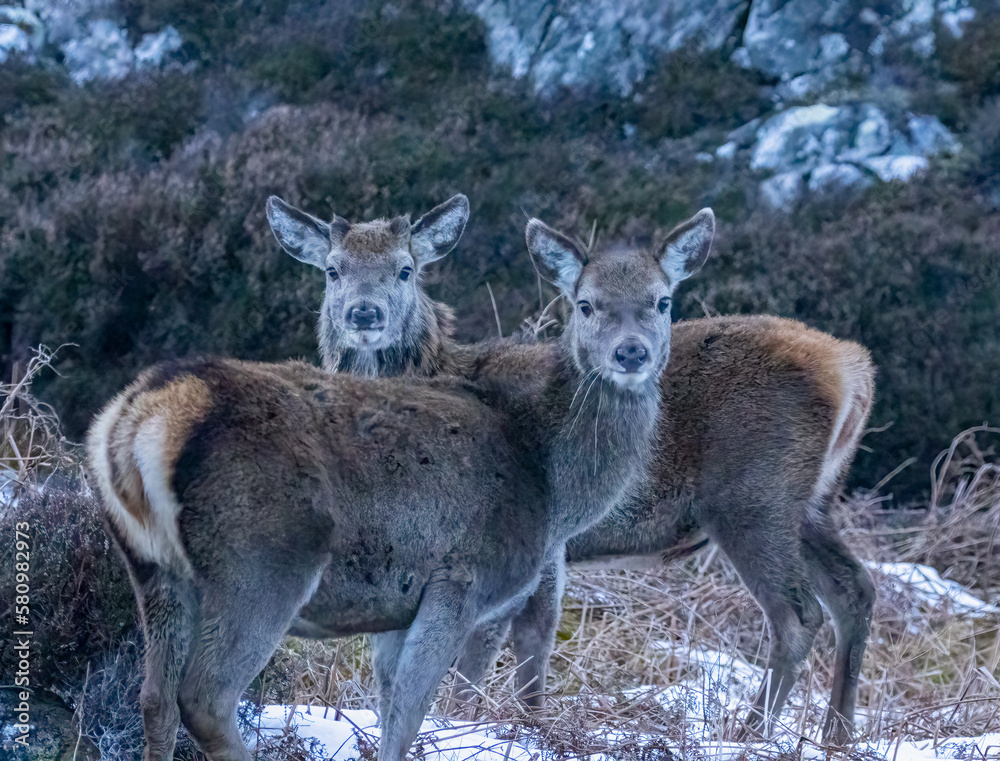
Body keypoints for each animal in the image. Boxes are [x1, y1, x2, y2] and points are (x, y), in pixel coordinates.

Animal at [88, 206, 714, 761]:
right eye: (586, 304)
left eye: (663, 302)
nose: (630, 353)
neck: (548, 477)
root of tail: (140, 417)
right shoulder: (459, 577)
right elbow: (412, 712)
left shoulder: (394, 603)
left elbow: (386, 702)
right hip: (262, 560)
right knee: (205, 698)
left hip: (151, 567)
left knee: (153, 698)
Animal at [267, 197, 875, 745]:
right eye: (333, 269)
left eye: (405, 268)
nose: (364, 314)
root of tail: (854, 367)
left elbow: (498, 639)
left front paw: (473, 721)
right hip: (809, 504)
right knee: (855, 589)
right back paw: (837, 735)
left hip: (753, 498)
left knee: (798, 615)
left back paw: (748, 736)